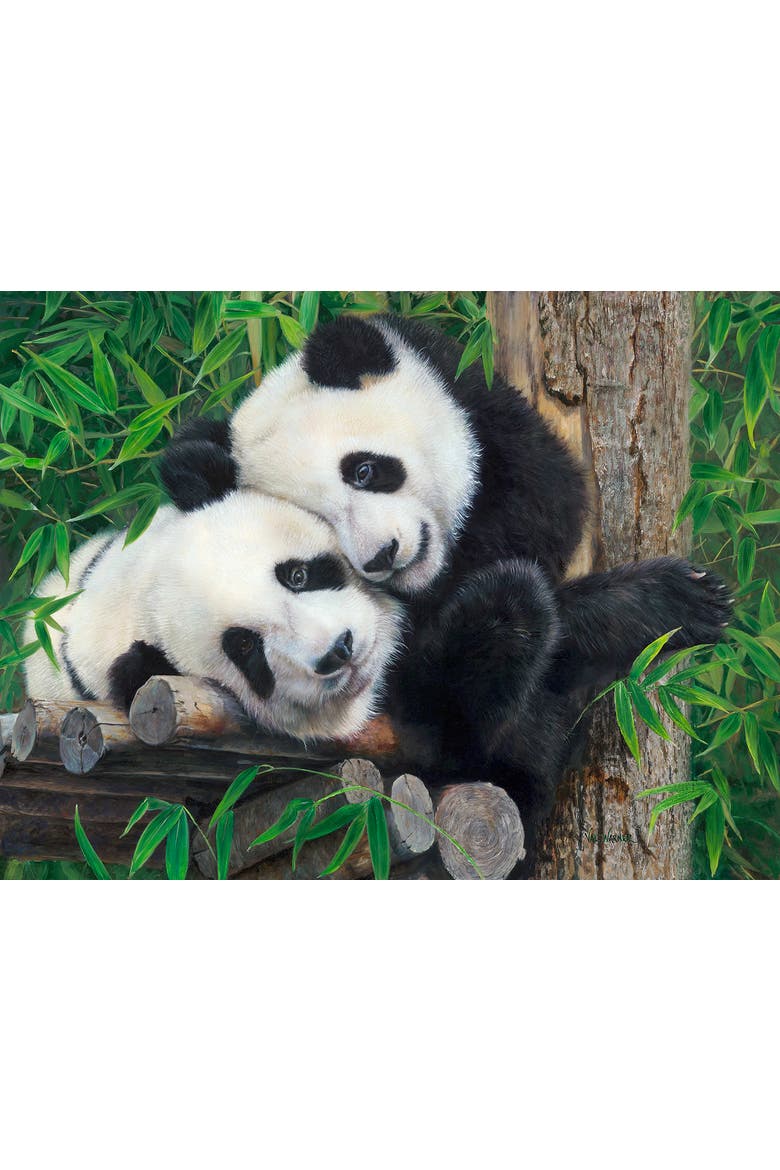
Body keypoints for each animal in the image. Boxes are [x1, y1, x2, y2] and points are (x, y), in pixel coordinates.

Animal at [160, 313, 732, 858]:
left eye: (364, 470)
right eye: (319, 520)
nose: (382, 556)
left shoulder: (497, 435)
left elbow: (548, 509)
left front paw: (686, 600)